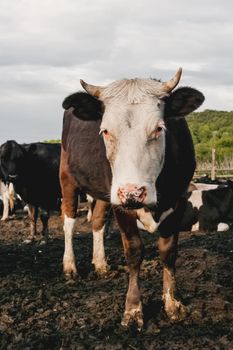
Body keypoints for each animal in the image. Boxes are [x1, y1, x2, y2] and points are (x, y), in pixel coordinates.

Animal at [59, 68, 204, 328]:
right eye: (105, 130)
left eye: (159, 128)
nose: (132, 191)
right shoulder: (121, 206)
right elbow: (134, 251)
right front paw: (133, 309)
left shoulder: (179, 198)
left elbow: (168, 252)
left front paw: (172, 304)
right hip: (68, 178)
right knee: (69, 221)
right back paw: (70, 267)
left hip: (106, 192)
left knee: (97, 221)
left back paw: (101, 264)